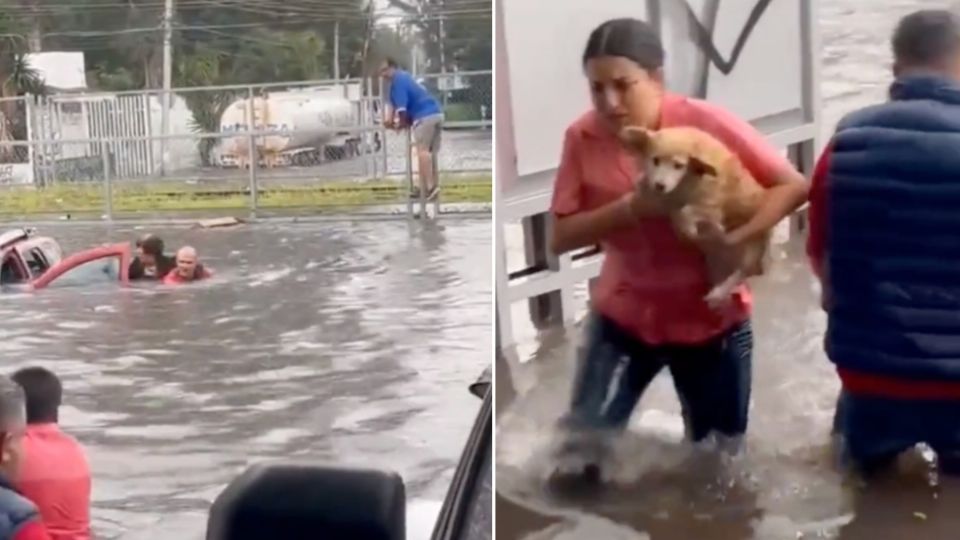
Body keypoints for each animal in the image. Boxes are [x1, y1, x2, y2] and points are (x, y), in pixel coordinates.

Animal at [620, 124, 768, 306]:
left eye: (678, 165)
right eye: (655, 160)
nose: (659, 185)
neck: (687, 180)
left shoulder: (711, 204)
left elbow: (686, 211)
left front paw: (689, 228)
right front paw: (643, 184)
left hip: (750, 249)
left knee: (742, 272)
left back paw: (719, 292)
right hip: (714, 262)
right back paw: (718, 296)